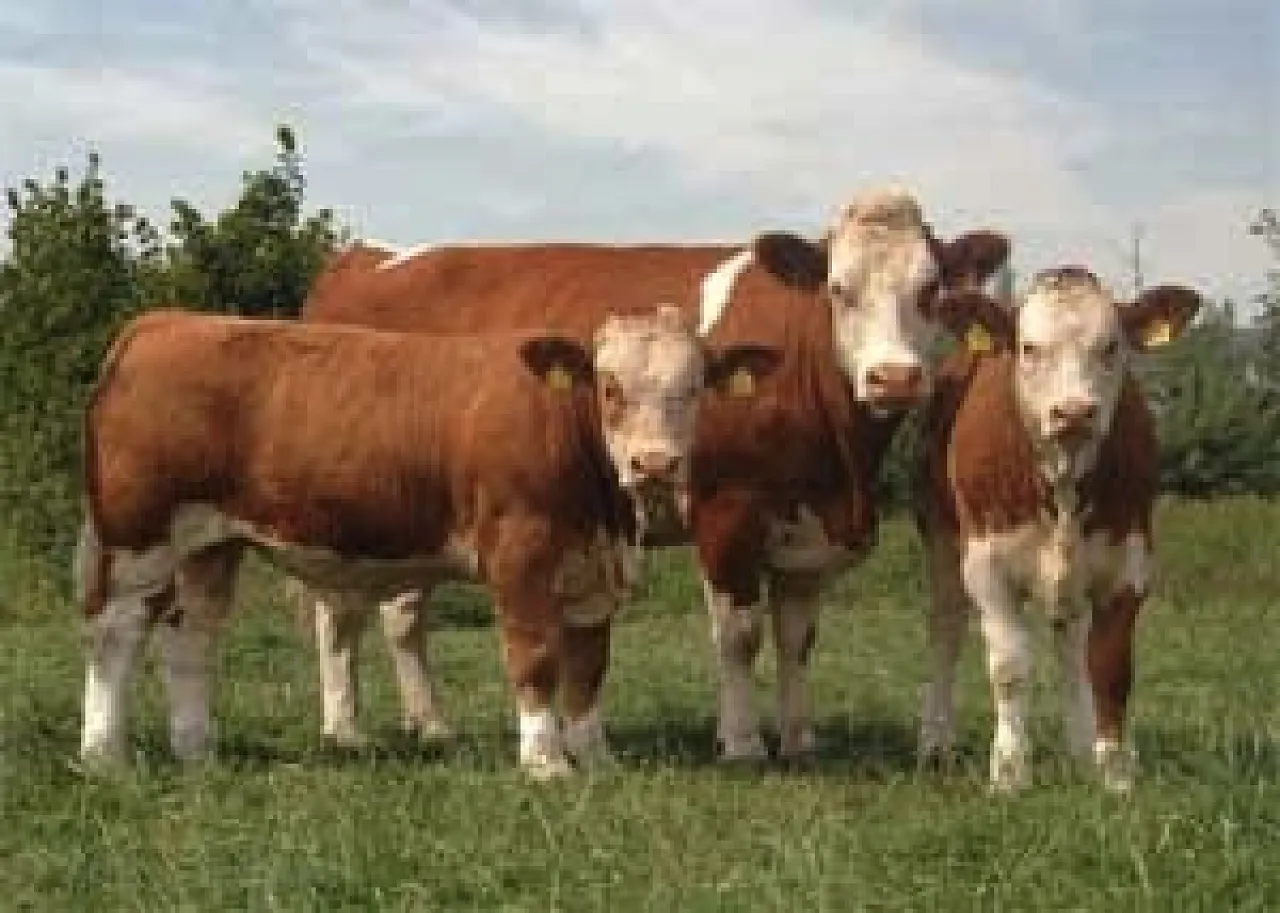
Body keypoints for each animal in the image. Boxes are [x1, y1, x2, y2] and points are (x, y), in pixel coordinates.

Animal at [76, 307, 781, 778]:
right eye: (609, 388)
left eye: (695, 388)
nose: (654, 464)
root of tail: (163, 322)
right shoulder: (520, 553)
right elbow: (535, 657)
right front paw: (545, 761)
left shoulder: (591, 573)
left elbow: (588, 668)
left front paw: (595, 756)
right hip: (137, 535)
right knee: (117, 632)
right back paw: (103, 754)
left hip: (210, 542)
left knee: (190, 636)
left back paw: (198, 750)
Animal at [300, 186, 1012, 762]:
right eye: (839, 289)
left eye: (929, 291)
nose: (894, 378)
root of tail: (362, 256)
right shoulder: (728, 510)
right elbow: (740, 635)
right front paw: (742, 742)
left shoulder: (807, 529)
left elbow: (797, 638)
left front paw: (798, 739)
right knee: (340, 613)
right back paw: (346, 729)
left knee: (399, 612)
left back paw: (428, 724)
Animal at [912, 267, 1202, 792]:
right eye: (1029, 348)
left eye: (1110, 346)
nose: (1074, 412)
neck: (1064, 480)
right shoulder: (985, 566)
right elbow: (1010, 667)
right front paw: (1009, 774)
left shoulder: (1129, 566)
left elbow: (1108, 669)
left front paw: (1114, 774)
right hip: (940, 536)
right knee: (945, 629)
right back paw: (936, 744)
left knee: (1071, 647)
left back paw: (1081, 751)